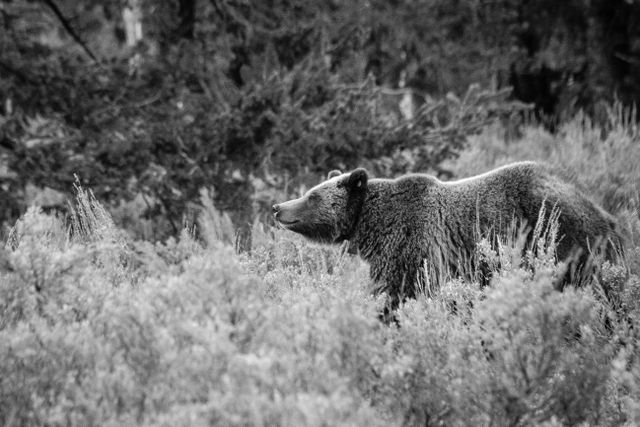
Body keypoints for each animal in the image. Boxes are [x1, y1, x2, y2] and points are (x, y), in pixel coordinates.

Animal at [272, 162, 624, 306]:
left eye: (312, 196)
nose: (278, 207)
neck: (370, 223)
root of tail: (602, 212)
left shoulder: (410, 242)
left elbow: (397, 291)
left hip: (563, 236)